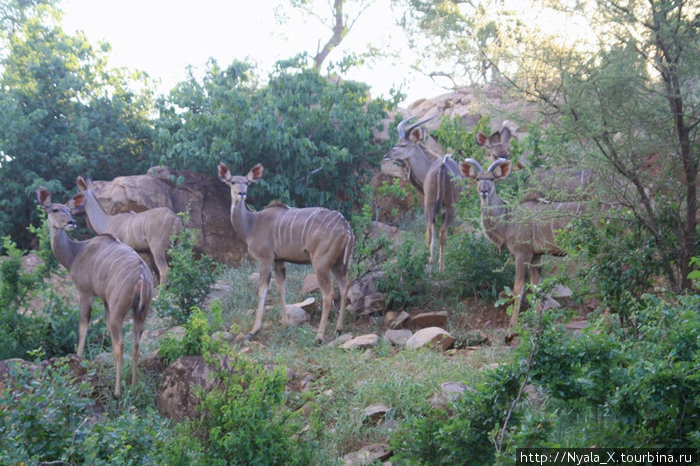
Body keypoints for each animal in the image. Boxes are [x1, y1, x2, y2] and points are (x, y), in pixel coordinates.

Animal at [36, 187, 154, 396]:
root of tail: (142, 276)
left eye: (69, 210)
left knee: (121, 344)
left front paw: (78, 359)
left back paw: (117, 391)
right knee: (136, 343)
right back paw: (132, 387)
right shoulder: (105, 300)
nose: (71, 222)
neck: (75, 253)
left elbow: (83, 326)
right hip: (141, 312)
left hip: (119, 309)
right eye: (55, 210)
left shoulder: (86, 291)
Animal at [217, 163, 356, 342]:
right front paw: (285, 323)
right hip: (338, 263)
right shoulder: (279, 260)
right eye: (233, 182)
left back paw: (319, 336)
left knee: (328, 294)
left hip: (321, 263)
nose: (242, 193)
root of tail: (346, 229)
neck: (251, 225)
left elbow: (262, 290)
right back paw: (338, 329)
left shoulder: (265, 258)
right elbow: (280, 288)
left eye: (247, 183)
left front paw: (254, 330)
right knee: (345, 286)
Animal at [382, 114, 464, 272]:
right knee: (439, 232)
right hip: (446, 207)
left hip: (433, 206)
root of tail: (442, 167)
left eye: (403, 145)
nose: (387, 155)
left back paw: (430, 266)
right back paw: (439, 268)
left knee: (431, 231)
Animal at [460, 158, 584, 330]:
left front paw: (512, 326)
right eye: (478, 178)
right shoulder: (537, 255)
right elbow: (536, 286)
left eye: (492, 179)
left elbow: (518, 288)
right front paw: (537, 321)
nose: (483, 191)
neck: (509, 219)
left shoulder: (522, 254)